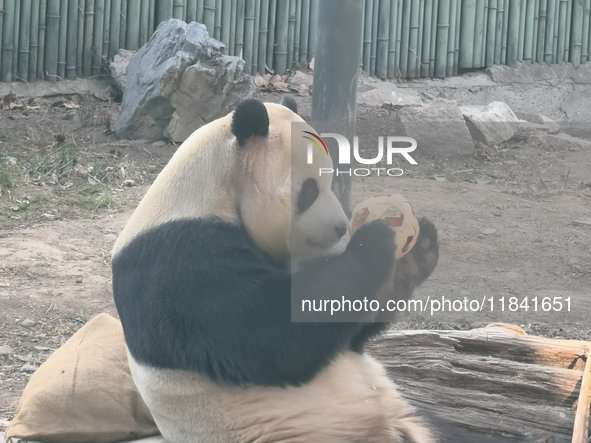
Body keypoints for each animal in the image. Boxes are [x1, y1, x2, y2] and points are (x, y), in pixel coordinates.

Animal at [112, 97, 440, 443]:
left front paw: (415, 255)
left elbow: (348, 331)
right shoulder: (181, 263)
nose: (341, 227)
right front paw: (373, 241)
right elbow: (272, 333)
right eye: (309, 190)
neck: (210, 193)